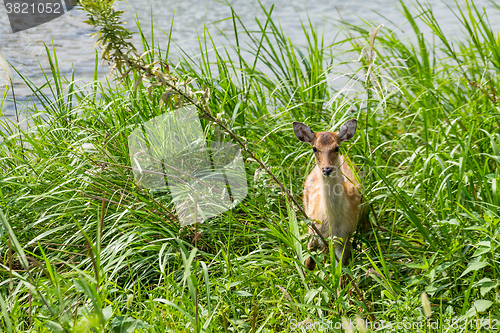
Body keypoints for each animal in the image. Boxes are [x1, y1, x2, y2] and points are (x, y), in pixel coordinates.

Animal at [292, 119, 360, 270]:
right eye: (314, 148)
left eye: (336, 147)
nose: (327, 169)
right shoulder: (313, 230)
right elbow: (309, 263)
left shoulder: (345, 237)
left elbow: (341, 270)